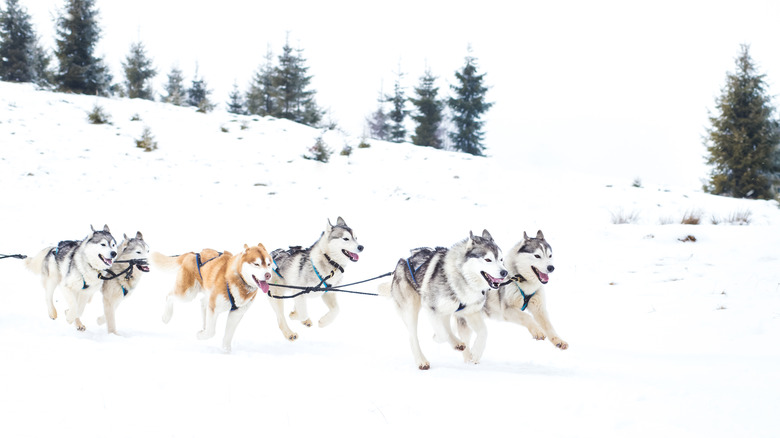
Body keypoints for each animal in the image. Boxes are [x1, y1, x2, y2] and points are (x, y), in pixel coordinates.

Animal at [380, 229, 508, 370]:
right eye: (488, 259)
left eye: (501, 259)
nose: (505, 272)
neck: (462, 278)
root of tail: (402, 262)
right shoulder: (430, 307)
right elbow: (442, 334)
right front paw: (438, 338)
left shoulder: (471, 312)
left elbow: (484, 332)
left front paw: (475, 353)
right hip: (411, 308)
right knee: (413, 336)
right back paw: (421, 360)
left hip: (446, 310)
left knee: (446, 325)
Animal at [458, 231, 568, 362]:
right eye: (537, 256)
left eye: (550, 255)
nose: (551, 268)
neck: (523, 281)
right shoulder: (508, 310)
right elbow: (527, 317)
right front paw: (537, 331)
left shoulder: (539, 308)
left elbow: (548, 326)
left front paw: (558, 340)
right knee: (465, 342)